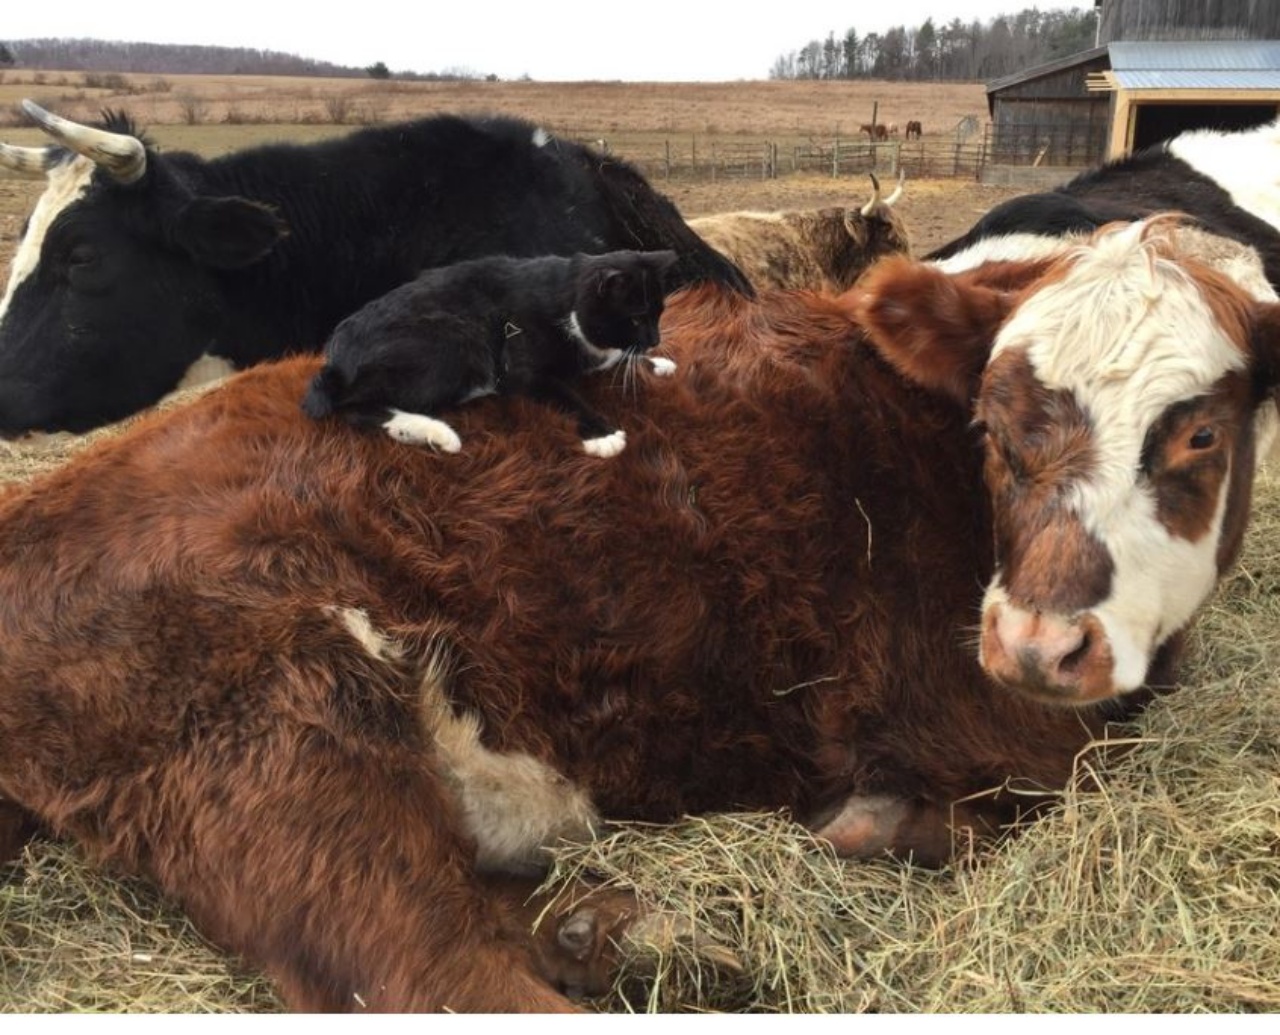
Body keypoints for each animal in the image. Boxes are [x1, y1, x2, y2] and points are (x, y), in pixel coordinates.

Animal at [300, 248, 680, 455]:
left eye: (659, 312)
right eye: (635, 318)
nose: (654, 339)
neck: (569, 301)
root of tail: (336, 358)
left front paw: (658, 363)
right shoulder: (521, 366)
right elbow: (563, 393)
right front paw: (603, 435)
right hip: (456, 337)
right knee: (353, 407)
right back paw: (435, 430)